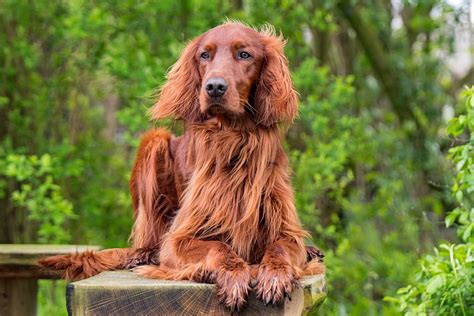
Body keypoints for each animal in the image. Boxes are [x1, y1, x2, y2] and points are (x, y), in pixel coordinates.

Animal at [39, 22, 322, 312]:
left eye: (244, 54)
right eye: (204, 55)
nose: (214, 87)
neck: (233, 138)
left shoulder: (285, 229)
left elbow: (280, 247)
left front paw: (275, 273)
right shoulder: (178, 239)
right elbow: (217, 248)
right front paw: (233, 275)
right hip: (154, 143)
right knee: (149, 242)